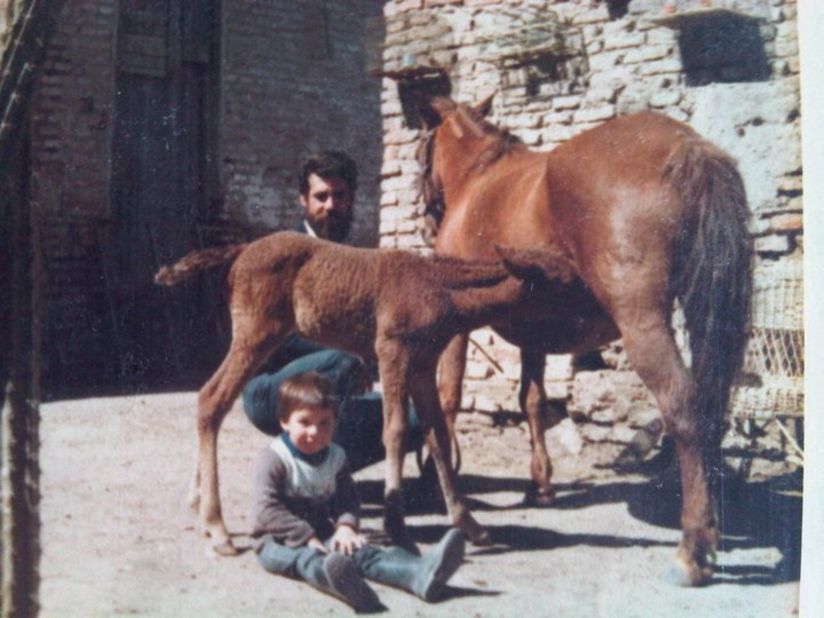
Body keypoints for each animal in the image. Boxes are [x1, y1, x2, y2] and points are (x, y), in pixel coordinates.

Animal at [158, 229, 576, 552]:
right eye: (563, 282)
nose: (590, 315)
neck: (440, 287)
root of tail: (242, 249)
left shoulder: (422, 364)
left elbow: (437, 433)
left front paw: (468, 523)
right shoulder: (392, 350)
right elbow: (395, 431)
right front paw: (397, 526)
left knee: (213, 400)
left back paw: (199, 503)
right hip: (257, 331)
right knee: (211, 399)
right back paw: (218, 527)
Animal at [422, 92, 748, 584]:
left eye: (423, 149)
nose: (426, 216)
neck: (480, 180)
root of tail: (686, 146)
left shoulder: (458, 326)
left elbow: (448, 399)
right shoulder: (533, 329)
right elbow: (532, 400)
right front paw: (540, 483)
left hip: (642, 323)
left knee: (683, 406)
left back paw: (692, 547)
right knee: (710, 406)